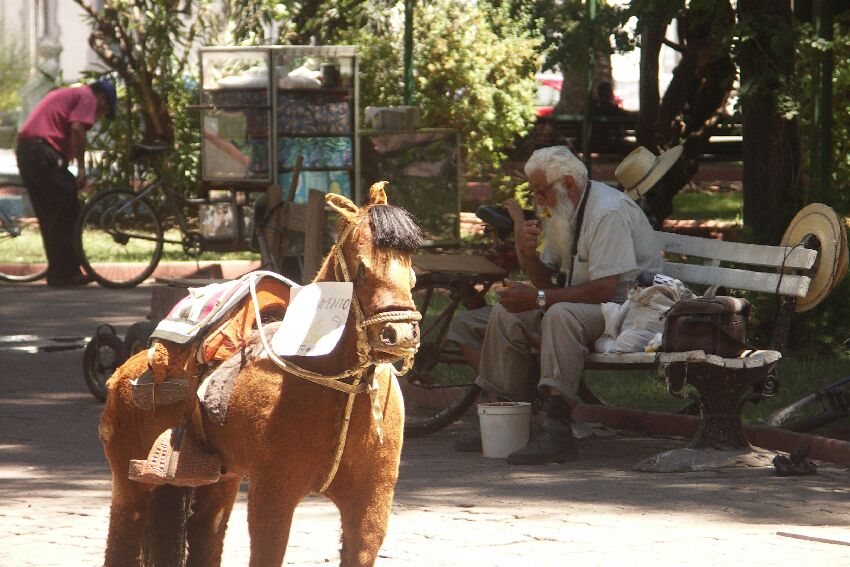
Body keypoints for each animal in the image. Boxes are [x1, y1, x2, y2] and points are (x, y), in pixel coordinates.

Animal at [99, 185, 423, 566]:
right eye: (361, 268)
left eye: (412, 271)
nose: (399, 335)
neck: (337, 385)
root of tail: (124, 372)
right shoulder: (273, 495)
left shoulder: (370, 507)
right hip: (131, 486)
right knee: (120, 542)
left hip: (217, 482)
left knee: (206, 537)